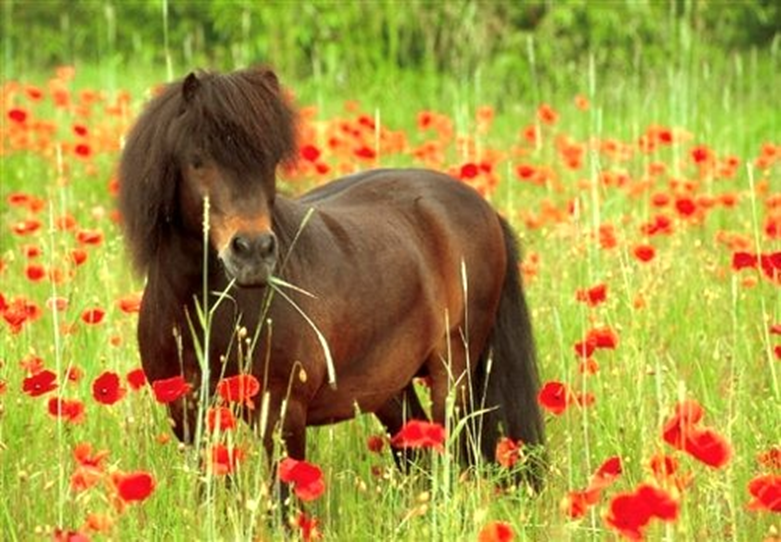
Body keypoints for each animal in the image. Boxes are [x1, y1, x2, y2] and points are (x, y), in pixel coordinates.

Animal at [117, 67, 544, 492]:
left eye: (269, 161)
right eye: (197, 160)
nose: (253, 252)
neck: (200, 306)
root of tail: (480, 205)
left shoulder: (281, 413)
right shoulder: (186, 415)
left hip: (452, 372)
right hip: (389, 387)